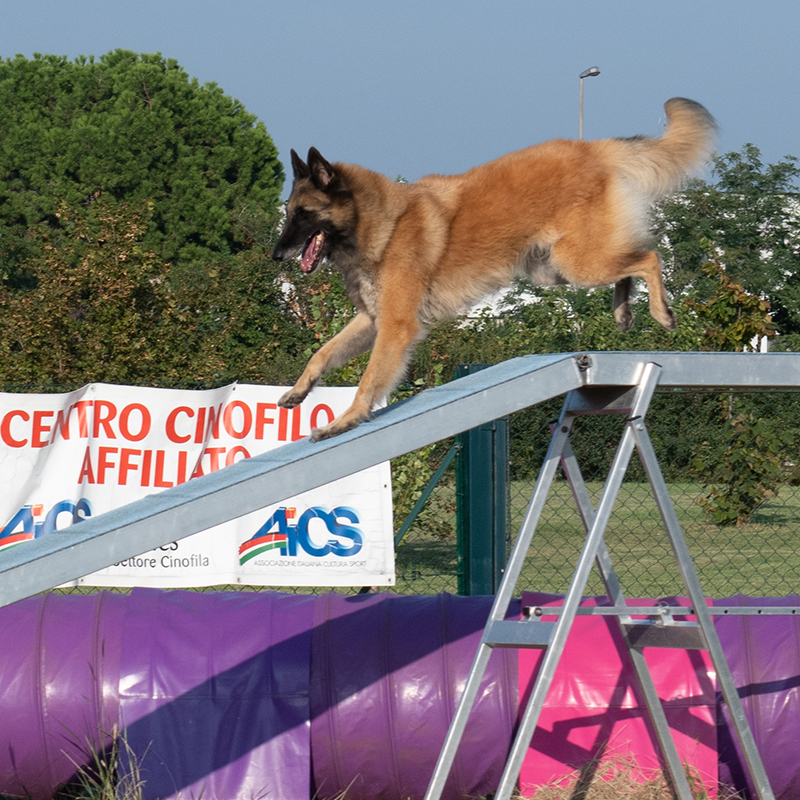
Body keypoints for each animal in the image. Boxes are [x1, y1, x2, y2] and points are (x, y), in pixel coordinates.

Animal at [272, 98, 716, 444]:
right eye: (288, 212)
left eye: (303, 214)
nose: (276, 255)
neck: (381, 223)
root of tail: (590, 148)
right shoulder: (371, 319)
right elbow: (322, 352)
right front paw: (299, 391)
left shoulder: (395, 326)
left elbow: (368, 380)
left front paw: (345, 421)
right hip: (556, 269)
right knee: (631, 260)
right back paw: (623, 311)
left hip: (578, 262)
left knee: (650, 256)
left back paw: (661, 313)